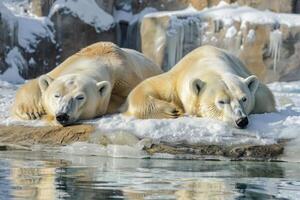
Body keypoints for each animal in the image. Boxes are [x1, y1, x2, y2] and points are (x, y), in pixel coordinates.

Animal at [11, 42, 162, 126]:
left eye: (80, 97)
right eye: (56, 95)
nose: (62, 115)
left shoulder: (126, 77)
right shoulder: (65, 65)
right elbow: (36, 82)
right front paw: (31, 111)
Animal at [125, 45, 276, 128]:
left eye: (244, 99)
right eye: (221, 101)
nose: (241, 121)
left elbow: (265, 97)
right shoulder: (175, 81)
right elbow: (144, 88)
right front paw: (172, 111)